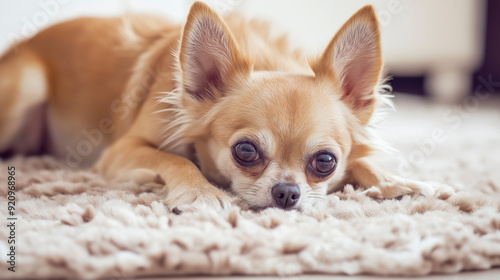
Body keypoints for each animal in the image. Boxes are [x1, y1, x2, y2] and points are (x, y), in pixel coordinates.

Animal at [0, 2, 454, 211]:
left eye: (325, 161)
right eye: (245, 151)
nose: (287, 193)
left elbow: (364, 161)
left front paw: (402, 182)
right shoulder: (120, 151)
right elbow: (175, 159)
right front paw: (201, 191)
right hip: (29, 87)